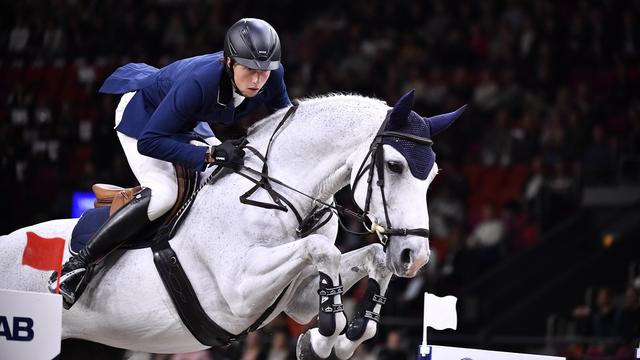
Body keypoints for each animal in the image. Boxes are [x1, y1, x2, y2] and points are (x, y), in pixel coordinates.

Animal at [0, 90, 460, 360]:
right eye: (396, 166)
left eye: (433, 176)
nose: (415, 256)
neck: (281, 196)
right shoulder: (238, 291)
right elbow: (322, 250)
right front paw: (327, 335)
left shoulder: (298, 299)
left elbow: (367, 262)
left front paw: (328, 339)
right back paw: (71, 275)